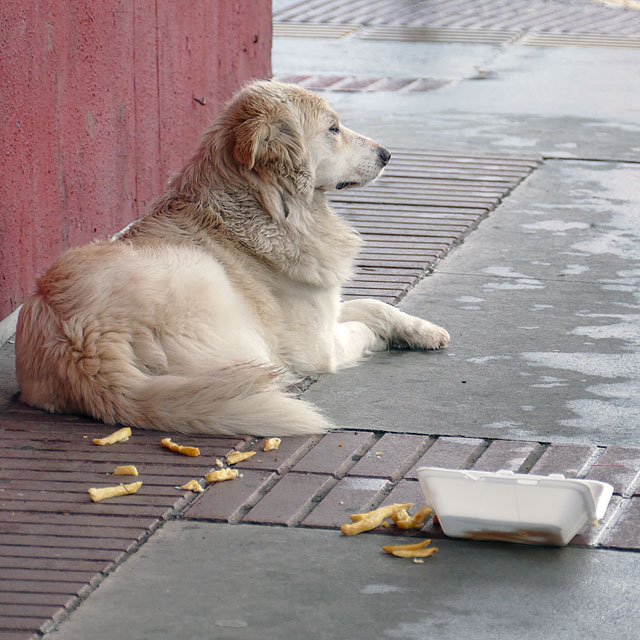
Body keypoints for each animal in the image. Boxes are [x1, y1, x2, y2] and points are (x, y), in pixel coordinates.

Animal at [15, 81, 450, 436]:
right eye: (333, 129)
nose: (387, 154)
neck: (270, 207)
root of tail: (83, 346)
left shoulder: (324, 306)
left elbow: (376, 305)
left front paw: (421, 330)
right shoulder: (316, 343)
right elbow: (360, 328)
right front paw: (385, 338)